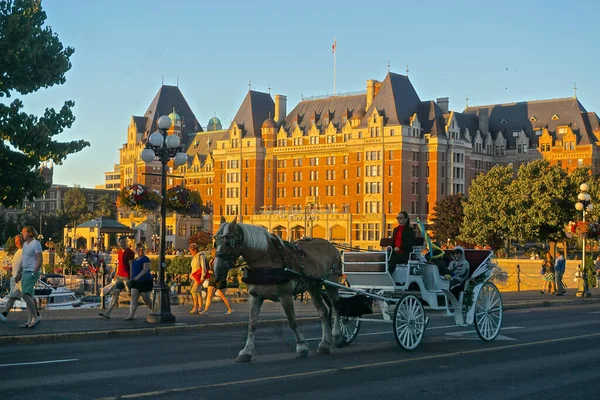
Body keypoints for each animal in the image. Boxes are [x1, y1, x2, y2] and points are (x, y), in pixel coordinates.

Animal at [212, 216, 342, 362]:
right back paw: (324, 344)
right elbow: (252, 323)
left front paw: (301, 347)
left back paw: (337, 336)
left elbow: (292, 321)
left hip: (332, 281)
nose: (217, 269)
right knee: (323, 311)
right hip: (313, 286)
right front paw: (246, 351)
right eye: (216, 241)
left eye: (230, 242)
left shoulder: (285, 295)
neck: (266, 262)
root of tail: (331, 246)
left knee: (336, 307)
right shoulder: (254, 295)